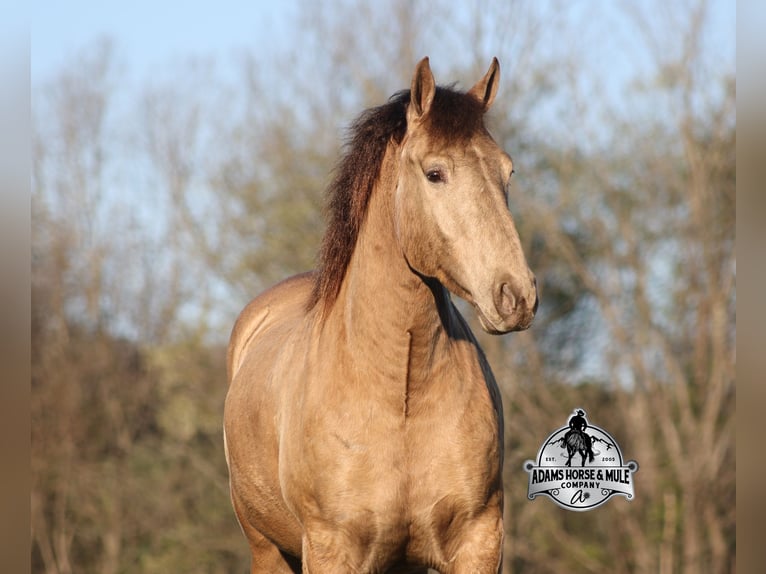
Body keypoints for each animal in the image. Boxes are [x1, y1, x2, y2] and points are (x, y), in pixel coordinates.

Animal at [224, 57, 538, 574]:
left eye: (507, 171)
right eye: (435, 173)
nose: (516, 295)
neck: (399, 391)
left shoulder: (479, 539)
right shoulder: (330, 549)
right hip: (267, 549)